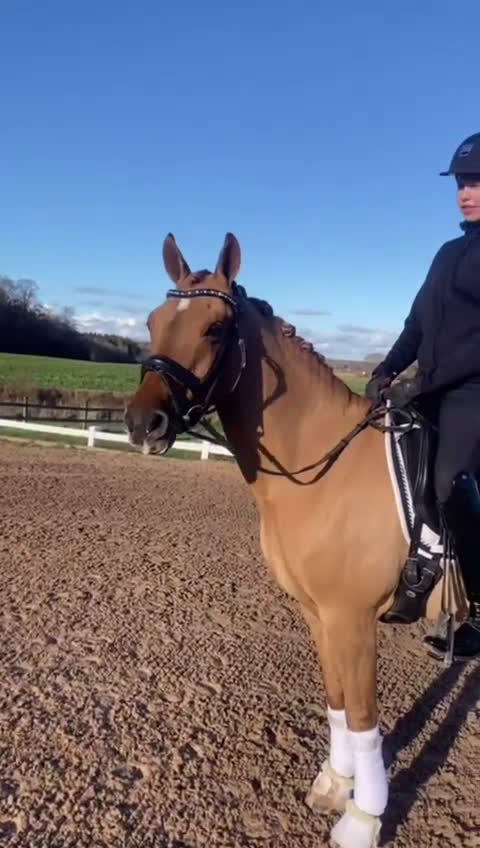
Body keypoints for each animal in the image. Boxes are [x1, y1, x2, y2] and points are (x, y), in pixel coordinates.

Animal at [125, 232, 464, 848]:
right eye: (153, 320)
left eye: (215, 328)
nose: (144, 424)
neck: (327, 470)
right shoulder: (318, 613)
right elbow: (338, 702)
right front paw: (335, 783)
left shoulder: (353, 619)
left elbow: (364, 718)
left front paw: (362, 819)